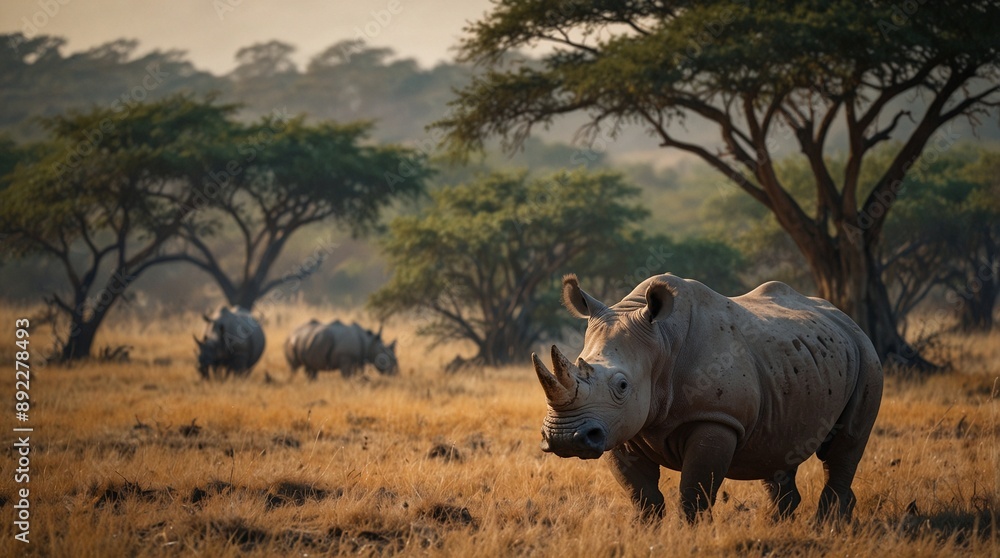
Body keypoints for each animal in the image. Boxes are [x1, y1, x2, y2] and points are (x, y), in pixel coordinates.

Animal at [532, 274, 882, 523]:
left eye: (622, 385)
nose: (564, 437)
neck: (661, 343)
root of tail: (845, 318)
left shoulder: (717, 418)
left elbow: (695, 492)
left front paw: (688, 535)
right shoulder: (616, 426)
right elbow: (641, 493)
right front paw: (647, 531)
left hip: (867, 356)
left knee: (845, 445)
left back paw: (826, 526)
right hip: (800, 362)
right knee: (778, 446)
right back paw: (776, 524)